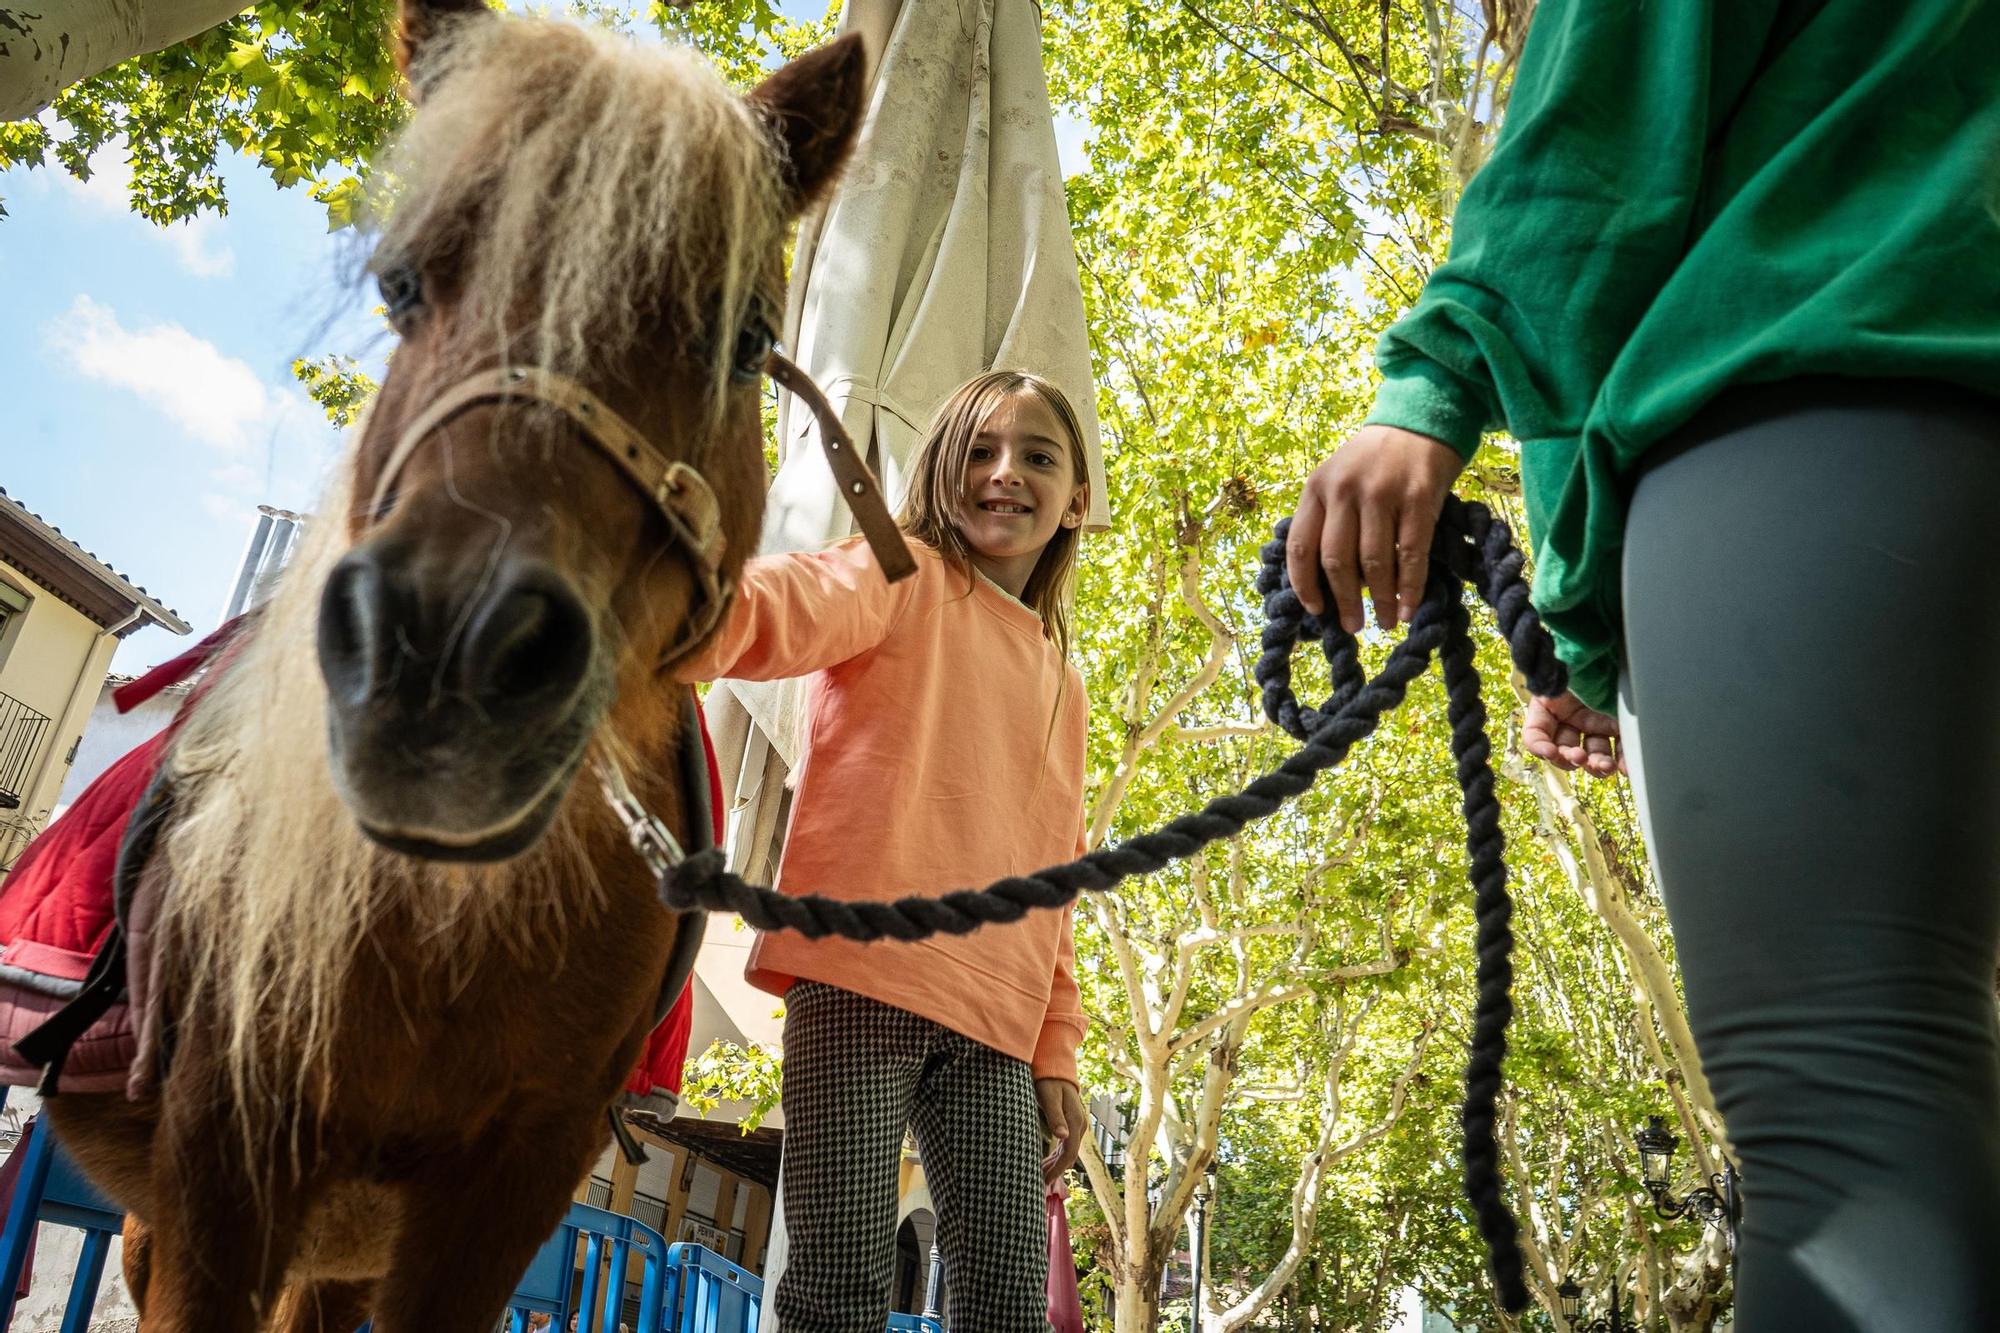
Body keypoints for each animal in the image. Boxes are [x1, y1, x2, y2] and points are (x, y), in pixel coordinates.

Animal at [39, 5, 864, 1320]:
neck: (443, 926)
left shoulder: (512, 1185)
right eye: (401, 284)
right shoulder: (225, 1156)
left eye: (745, 340)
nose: (445, 663)